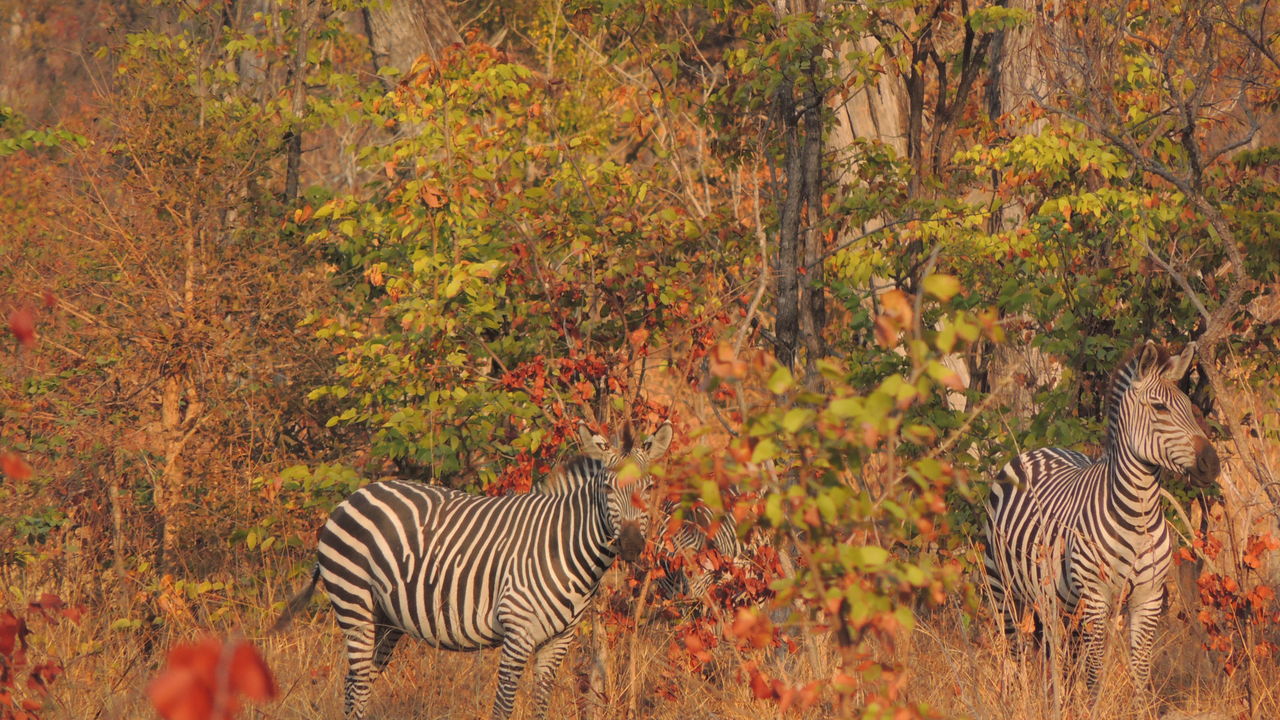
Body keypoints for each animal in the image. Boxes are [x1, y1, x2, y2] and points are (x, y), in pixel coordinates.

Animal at [273, 420, 675, 717]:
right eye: (607, 488)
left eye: (649, 486)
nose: (632, 545)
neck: (564, 548)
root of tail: (353, 496)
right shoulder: (517, 632)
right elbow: (503, 707)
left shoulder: (558, 641)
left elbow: (541, 707)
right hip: (353, 604)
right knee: (356, 683)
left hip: (385, 618)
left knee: (357, 685)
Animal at [988, 340, 1218, 691]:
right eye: (1160, 408)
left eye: (1189, 407)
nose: (1212, 464)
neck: (1139, 515)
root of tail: (1034, 451)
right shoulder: (1096, 599)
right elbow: (1095, 674)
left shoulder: (1148, 598)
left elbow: (1140, 673)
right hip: (1004, 587)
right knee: (1013, 651)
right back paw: (1015, 696)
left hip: (1058, 600)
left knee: (1058, 655)